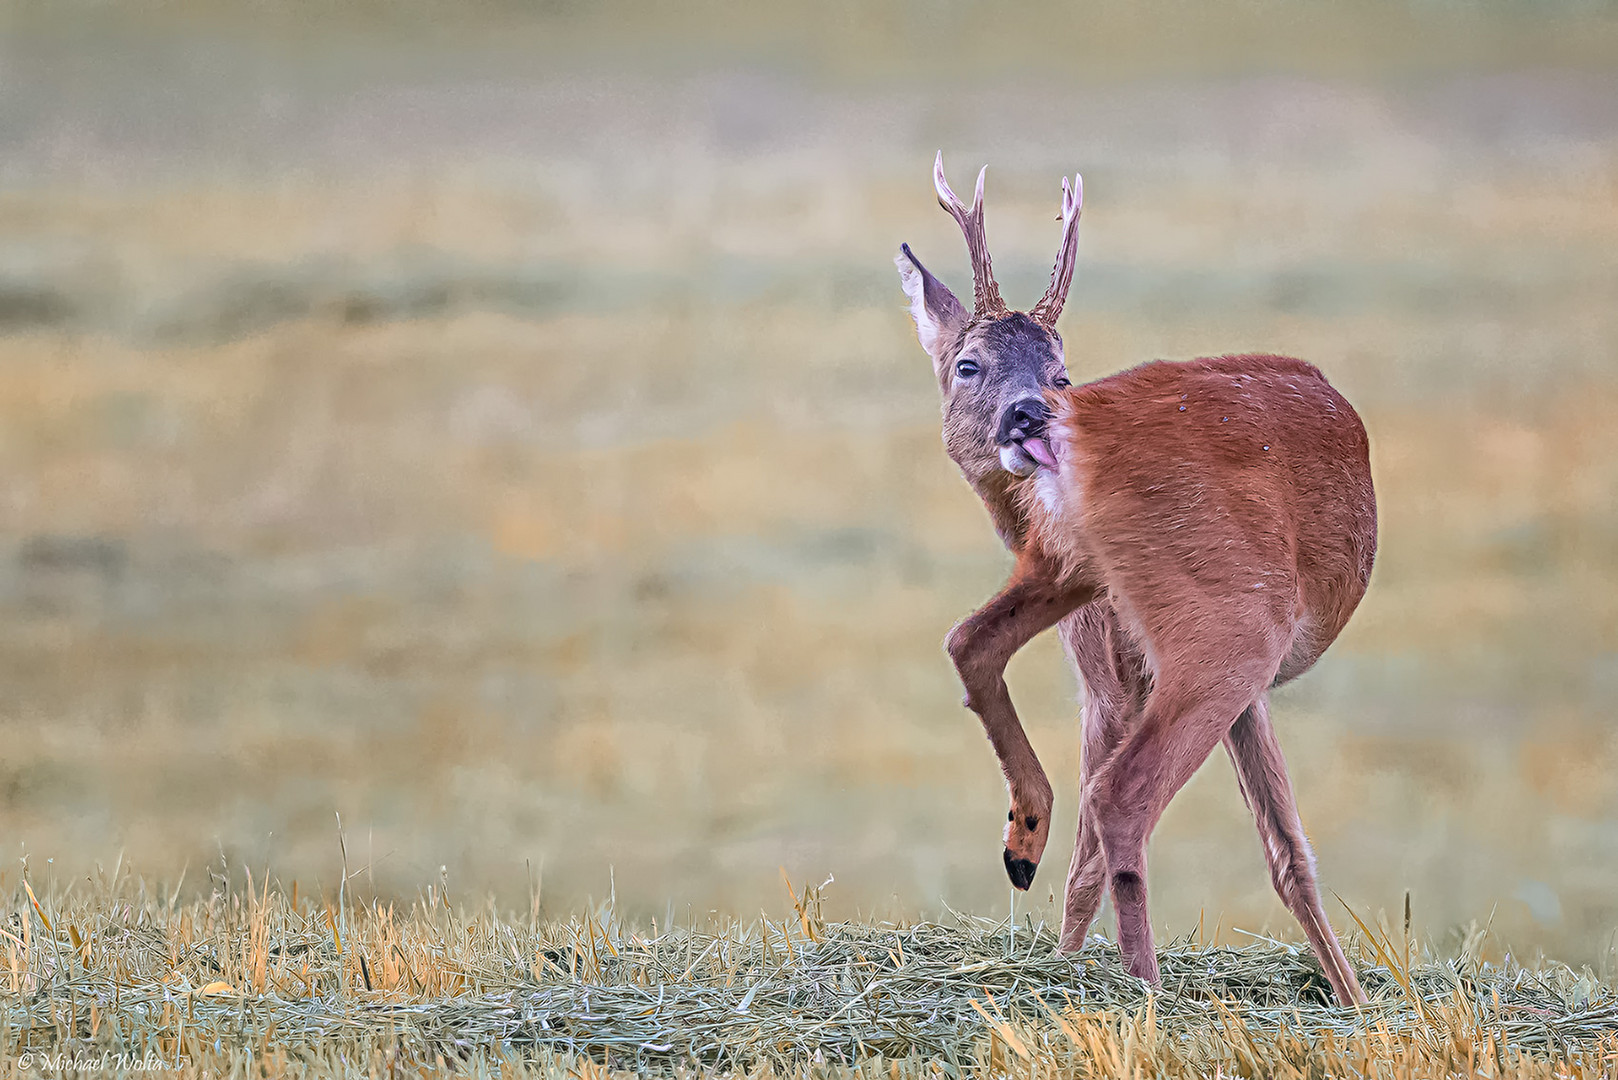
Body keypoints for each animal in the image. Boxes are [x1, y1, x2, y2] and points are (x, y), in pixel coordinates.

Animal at [899, 156, 1378, 1010]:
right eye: (968, 363)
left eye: (1059, 370)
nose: (1028, 413)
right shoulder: (1155, 675)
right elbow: (1288, 850)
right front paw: (1357, 1003)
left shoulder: (1113, 666)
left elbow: (1275, 849)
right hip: (1206, 620)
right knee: (1109, 784)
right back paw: (1128, 967)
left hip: (1147, 603)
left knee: (991, 665)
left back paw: (1049, 870)